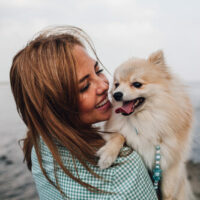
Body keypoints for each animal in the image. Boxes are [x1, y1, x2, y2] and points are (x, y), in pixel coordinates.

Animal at [97, 50, 195, 199]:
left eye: (137, 84)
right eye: (117, 84)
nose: (116, 95)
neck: (144, 118)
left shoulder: (171, 163)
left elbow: (168, 192)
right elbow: (119, 136)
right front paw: (107, 155)